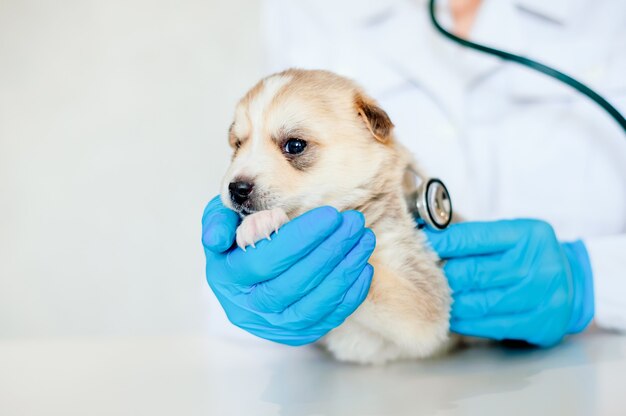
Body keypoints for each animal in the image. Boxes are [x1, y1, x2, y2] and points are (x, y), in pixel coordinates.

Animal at [219, 69, 448, 364]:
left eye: (295, 145)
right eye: (237, 144)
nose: (236, 189)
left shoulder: (423, 299)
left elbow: (377, 277)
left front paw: (262, 221)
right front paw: (256, 222)